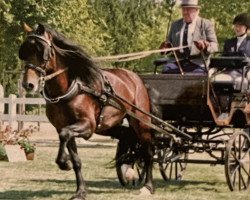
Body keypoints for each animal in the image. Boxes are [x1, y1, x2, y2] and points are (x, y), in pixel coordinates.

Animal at [18, 23, 153, 200]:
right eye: (25, 52)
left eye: (42, 52)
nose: (28, 84)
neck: (70, 89)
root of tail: (135, 78)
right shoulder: (63, 127)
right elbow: (75, 158)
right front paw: (80, 190)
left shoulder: (87, 126)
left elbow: (65, 135)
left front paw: (64, 163)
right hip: (107, 126)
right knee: (128, 136)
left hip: (141, 122)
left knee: (148, 149)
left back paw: (148, 186)